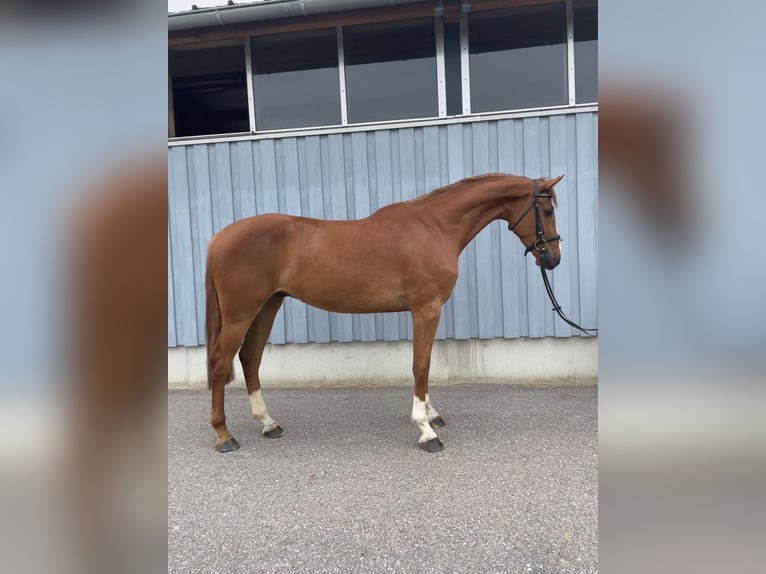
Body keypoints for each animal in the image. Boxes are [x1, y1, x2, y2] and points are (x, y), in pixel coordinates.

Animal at [204, 172, 564, 454]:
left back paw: (269, 424)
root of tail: (218, 237)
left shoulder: (424, 310)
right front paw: (425, 430)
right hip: (241, 314)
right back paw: (224, 435)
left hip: (268, 306)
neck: (434, 227)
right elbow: (421, 365)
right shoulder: (426, 308)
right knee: (221, 363)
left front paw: (431, 415)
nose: (553, 259)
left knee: (250, 359)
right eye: (546, 210)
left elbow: (424, 364)